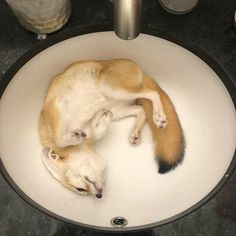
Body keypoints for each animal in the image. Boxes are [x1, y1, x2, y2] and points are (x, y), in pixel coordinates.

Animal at [39, 59, 185, 197]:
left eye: (79, 188)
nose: (99, 195)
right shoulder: (91, 130)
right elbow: (95, 131)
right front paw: (101, 120)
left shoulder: (56, 105)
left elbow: (60, 139)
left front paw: (74, 135)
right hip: (117, 108)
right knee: (141, 109)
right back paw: (135, 132)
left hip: (112, 89)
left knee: (153, 93)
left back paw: (158, 116)